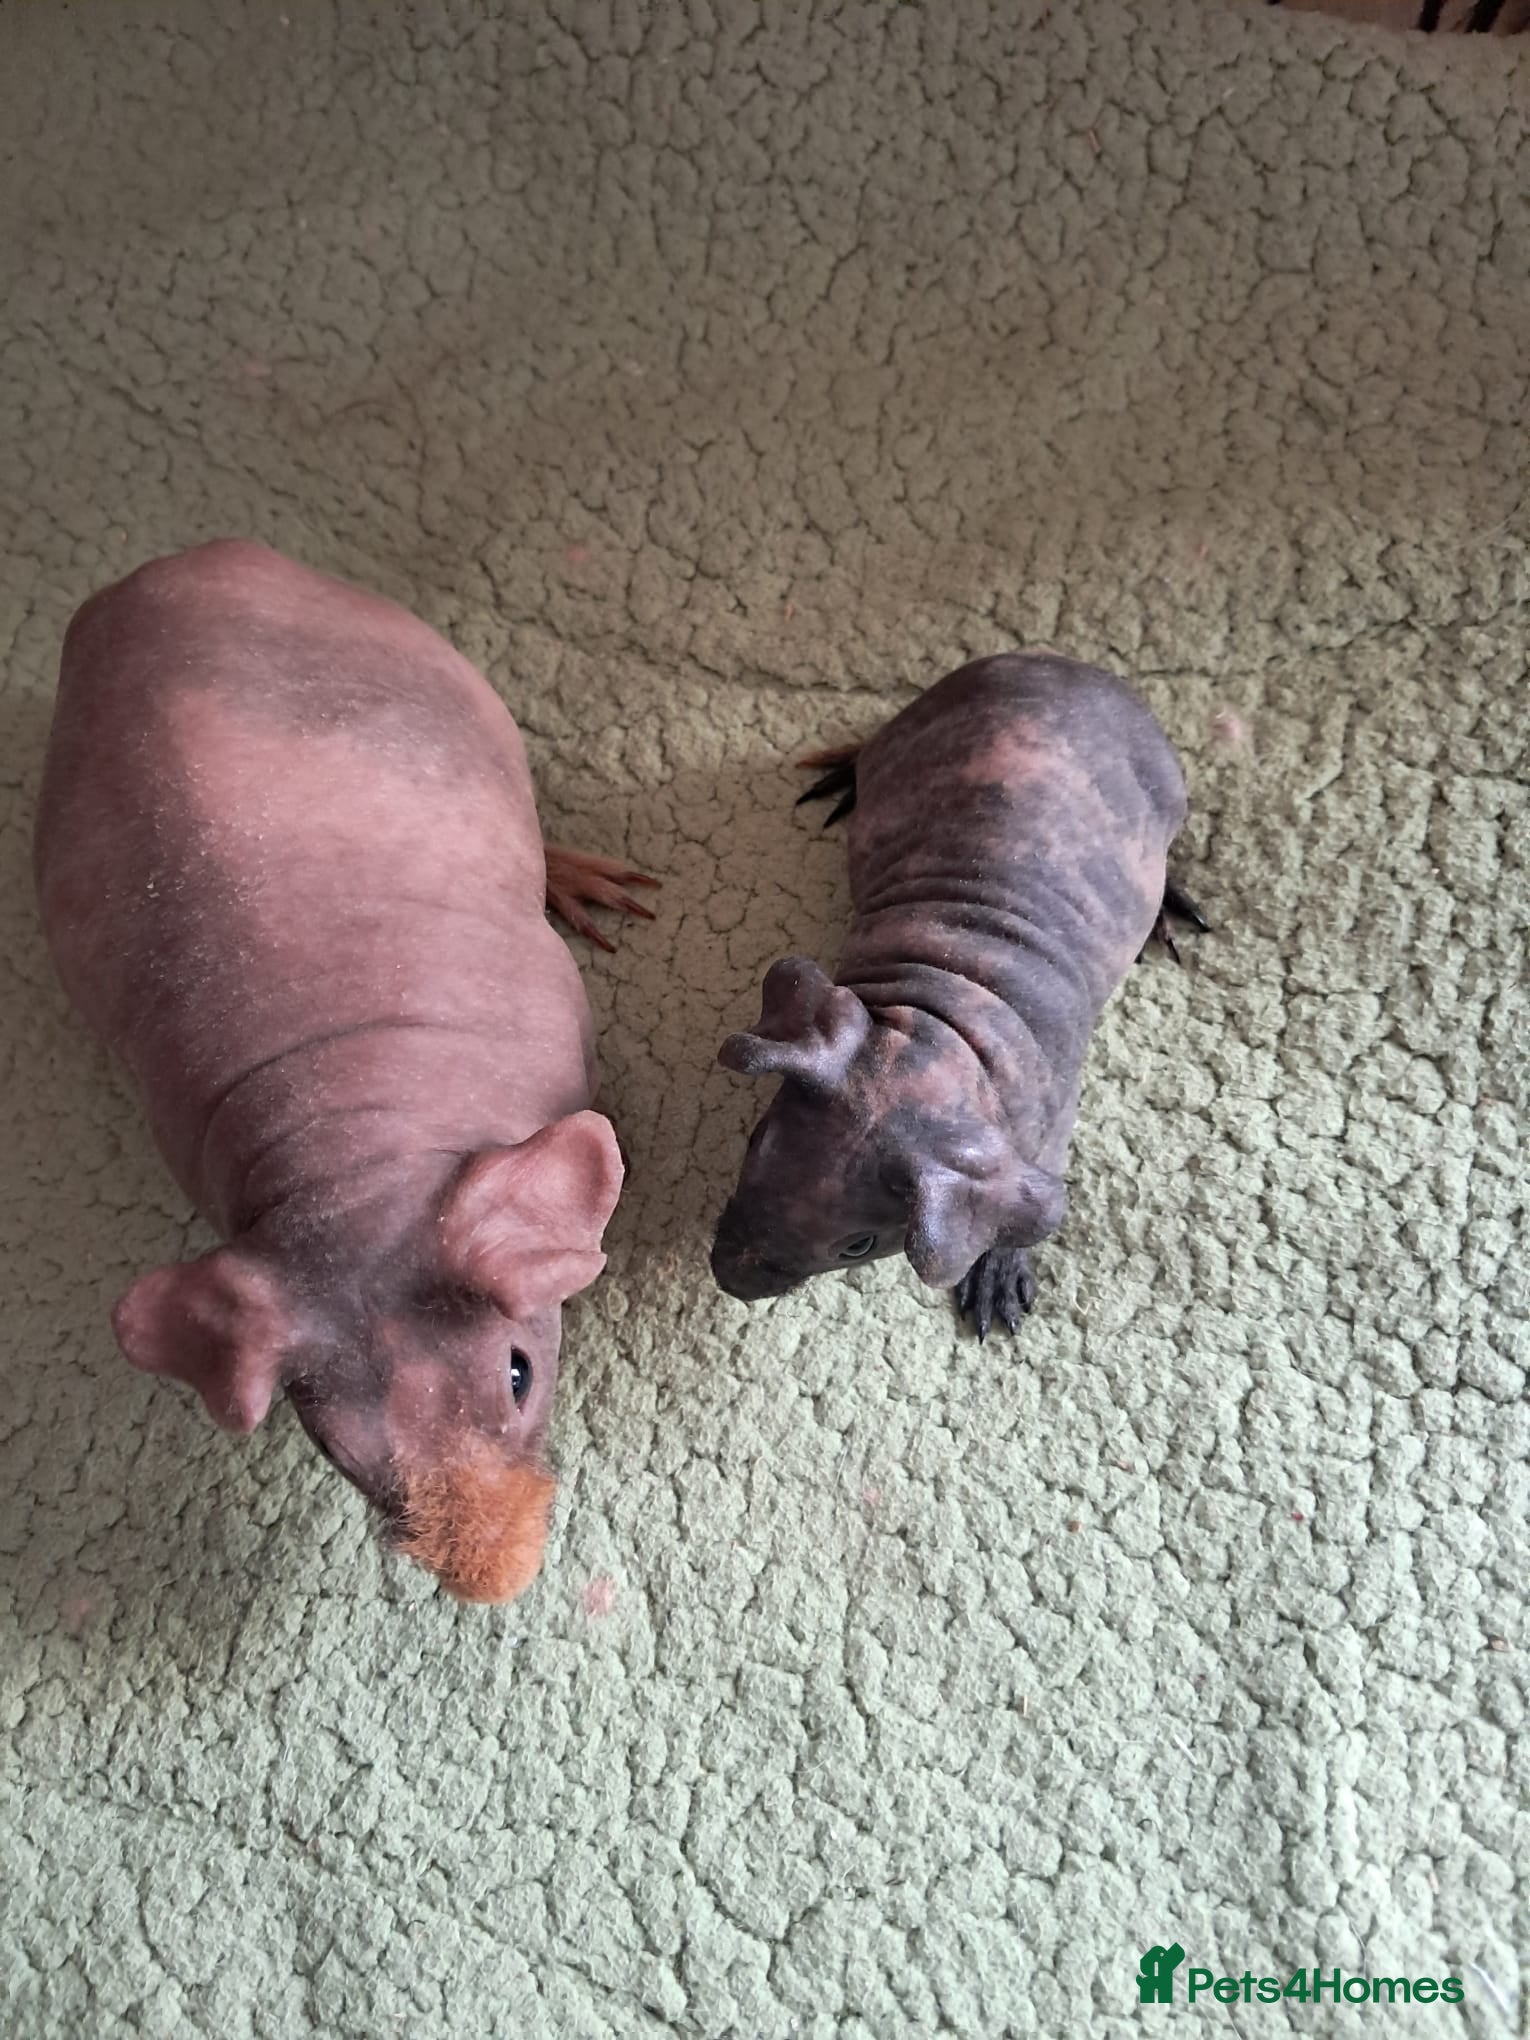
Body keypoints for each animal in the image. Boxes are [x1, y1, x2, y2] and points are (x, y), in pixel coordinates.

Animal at [34, 540, 657, 1602]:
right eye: (335, 1452)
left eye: (520, 1373)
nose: (493, 1581)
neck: (351, 1158)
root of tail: (168, 568)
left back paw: (573, 871)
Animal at [710, 650, 1206, 1339]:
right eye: (758, 1142)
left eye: (857, 1246)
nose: (730, 1279)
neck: (944, 1016)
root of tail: (1070, 664)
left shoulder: (1050, 1113)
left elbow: (1033, 1197)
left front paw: (996, 1269)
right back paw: (845, 776)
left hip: (1168, 791)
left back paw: (1168, 906)